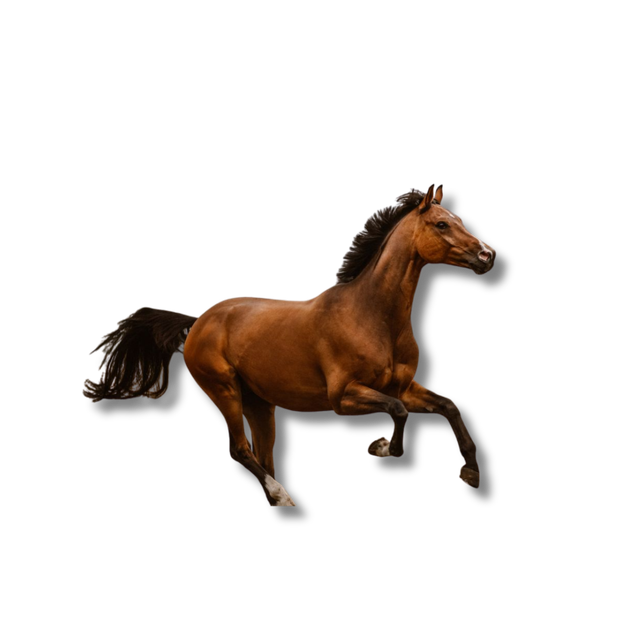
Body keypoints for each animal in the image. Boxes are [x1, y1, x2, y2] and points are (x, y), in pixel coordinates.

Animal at [83, 185, 495, 506]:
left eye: (459, 219)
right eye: (441, 224)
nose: (487, 255)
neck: (372, 315)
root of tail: (197, 322)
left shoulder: (404, 386)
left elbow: (448, 406)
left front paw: (470, 474)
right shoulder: (344, 396)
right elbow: (399, 412)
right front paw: (381, 446)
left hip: (259, 403)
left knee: (264, 455)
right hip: (223, 390)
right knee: (241, 449)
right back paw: (282, 496)